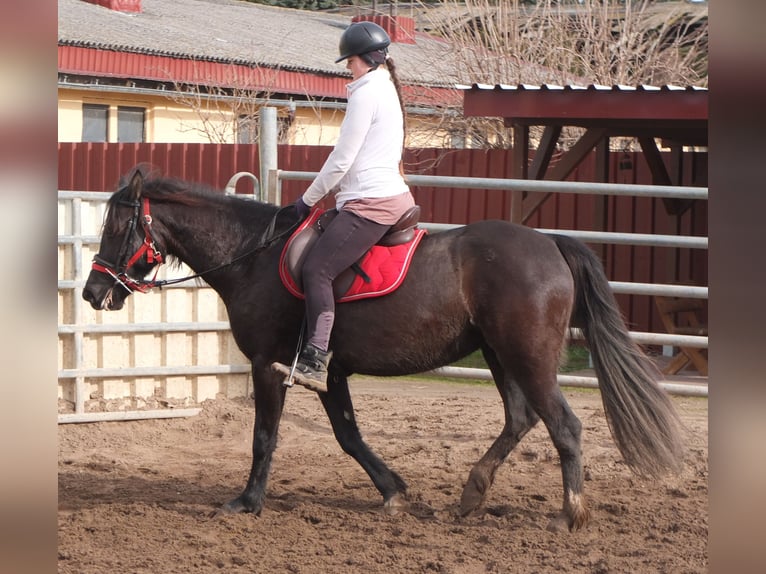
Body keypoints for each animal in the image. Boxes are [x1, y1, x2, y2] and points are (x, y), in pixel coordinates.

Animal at [82, 166, 684, 536]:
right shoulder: (330, 373)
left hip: (527, 356)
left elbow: (264, 437)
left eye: (118, 225)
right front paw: (393, 490)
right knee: (520, 419)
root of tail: (550, 244)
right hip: (500, 355)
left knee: (564, 426)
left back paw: (568, 514)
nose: (91, 292)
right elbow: (348, 436)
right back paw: (472, 494)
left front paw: (246, 502)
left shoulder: (268, 367)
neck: (252, 256)